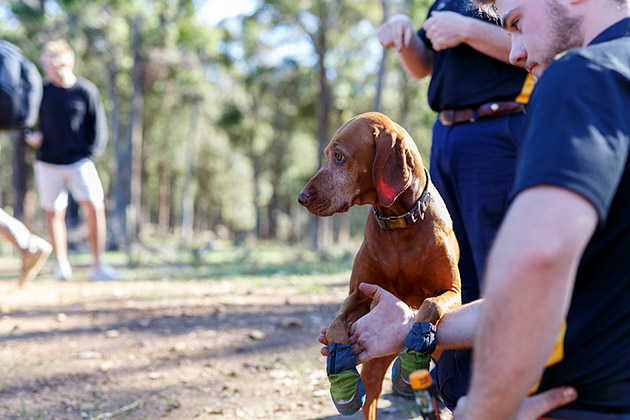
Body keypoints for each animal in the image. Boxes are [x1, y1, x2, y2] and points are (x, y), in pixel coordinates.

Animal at [298, 112, 462, 420]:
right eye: (327, 154)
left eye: (339, 156)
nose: (301, 198)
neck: (399, 223)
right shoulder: (359, 294)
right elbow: (336, 325)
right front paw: (342, 372)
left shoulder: (452, 292)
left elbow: (429, 306)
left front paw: (411, 358)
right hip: (376, 365)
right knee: (371, 397)